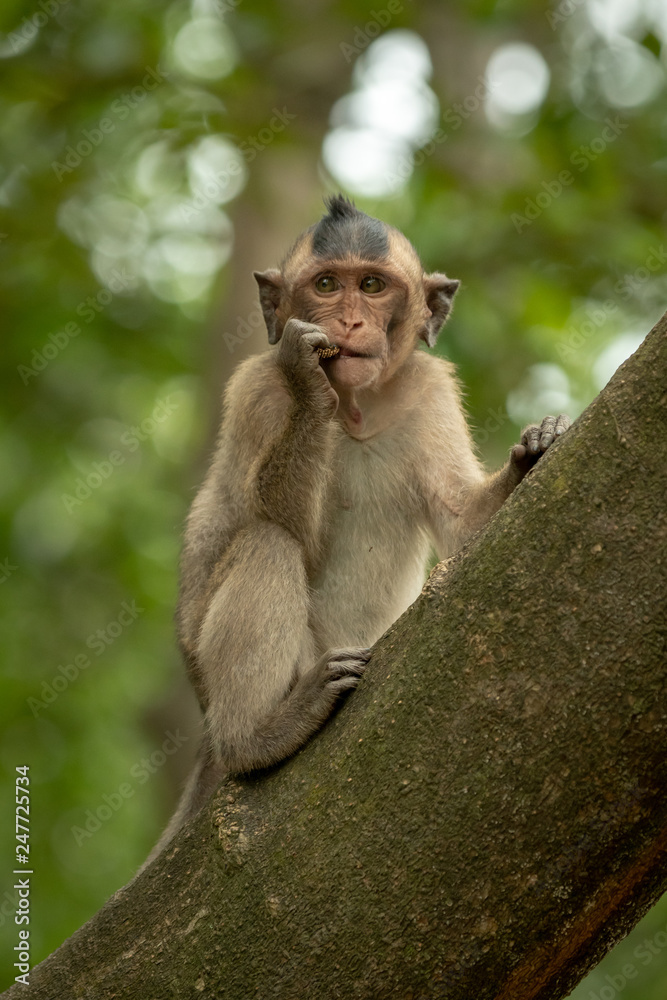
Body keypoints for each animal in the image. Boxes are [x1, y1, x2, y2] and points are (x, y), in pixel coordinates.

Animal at [143, 195, 569, 866]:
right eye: (325, 286)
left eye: (371, 286)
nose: (347, 323)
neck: (359, 409)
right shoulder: (256, 390)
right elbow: (284, 518)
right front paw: (309, 377)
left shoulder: (430, 389)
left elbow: (463, 525)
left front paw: (535, 450)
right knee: (269, 542)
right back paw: (259, 737)